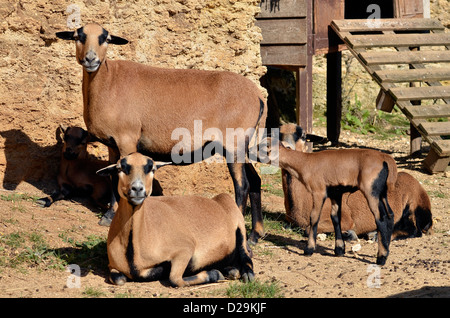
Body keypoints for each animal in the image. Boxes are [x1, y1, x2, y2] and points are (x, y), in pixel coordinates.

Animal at [56, 23, 268, 243]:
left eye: (105, 39)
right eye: (77, 37)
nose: (91, 59)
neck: (108, 82)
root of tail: (258, 96)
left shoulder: (127, 140)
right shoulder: (113, 144)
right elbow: (113, 177)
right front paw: (108, 216)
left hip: (234, 142)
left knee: (242, 186)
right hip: (242, 145)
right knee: (255, 181)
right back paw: (255, 234)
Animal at [96, 152, 255, 286]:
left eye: (152, 168)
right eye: (120, 168)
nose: (137, 189)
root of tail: (216, 200)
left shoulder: (185, 249)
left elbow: (175, 279)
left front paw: (215, 274)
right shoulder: (113, 266)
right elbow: (119, 279)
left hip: (238, 222)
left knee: (246, 253)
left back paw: (246, 274)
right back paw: (231, 270)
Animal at [270, 125, 398, 264]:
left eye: (303, 136)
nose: (287, 147)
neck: (306, 162)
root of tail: (385, 160)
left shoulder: (319, 191)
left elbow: (314, 217)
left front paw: (309, 250)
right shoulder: (335, 194)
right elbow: (335, 218)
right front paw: (339, 250)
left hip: (371, 191)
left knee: (381, 218)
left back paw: (381, 257)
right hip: (382, 192)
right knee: (390, 215)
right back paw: (385, 250)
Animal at [282, 123, 432, 240]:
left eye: (303, 136)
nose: (286, 147)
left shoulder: (345, 219)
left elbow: (308, 229)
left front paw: (349, 234)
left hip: (413, 205)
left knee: (414, 230)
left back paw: (375, 235)